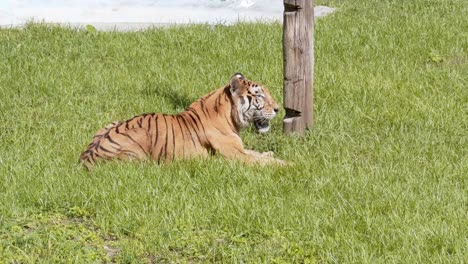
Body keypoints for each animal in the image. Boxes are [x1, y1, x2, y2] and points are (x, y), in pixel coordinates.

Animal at [79, 73, 286, 170]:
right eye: (259, 95)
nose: (278, 109)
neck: (230, 116)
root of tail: (87, 158)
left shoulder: (240, 150)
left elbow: (257, 153)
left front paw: (269, 153)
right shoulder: (235, 155)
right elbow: (264, 162)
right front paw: (289, 165)